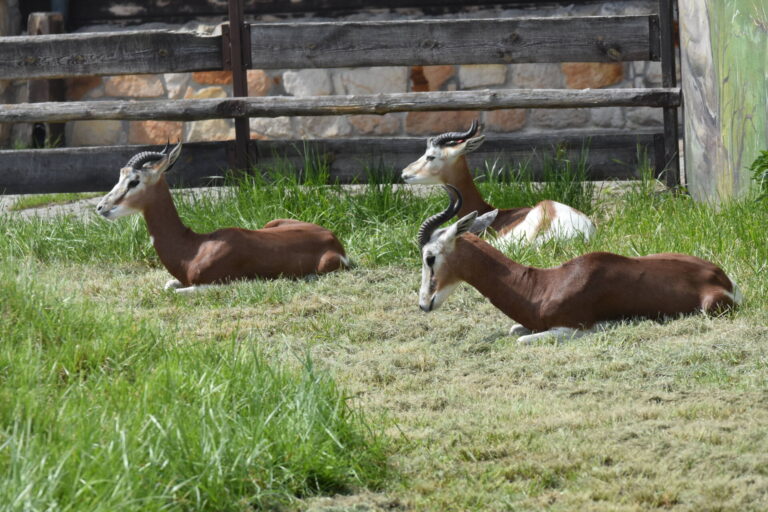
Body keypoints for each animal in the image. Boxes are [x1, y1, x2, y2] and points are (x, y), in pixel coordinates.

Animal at [96, 142, 348, 292]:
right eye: (120, 176)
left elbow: (177, 292)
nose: (100, 207)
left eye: (134, 181)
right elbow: (168, 286)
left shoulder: (216, 284)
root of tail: (333, 239)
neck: (193, 248)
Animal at [416, 185, 740, 344]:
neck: (541, 287)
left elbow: (522, 341)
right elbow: (514, 332)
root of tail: (722, 278)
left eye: (429, 256)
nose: (423, 304)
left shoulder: (573, 328)